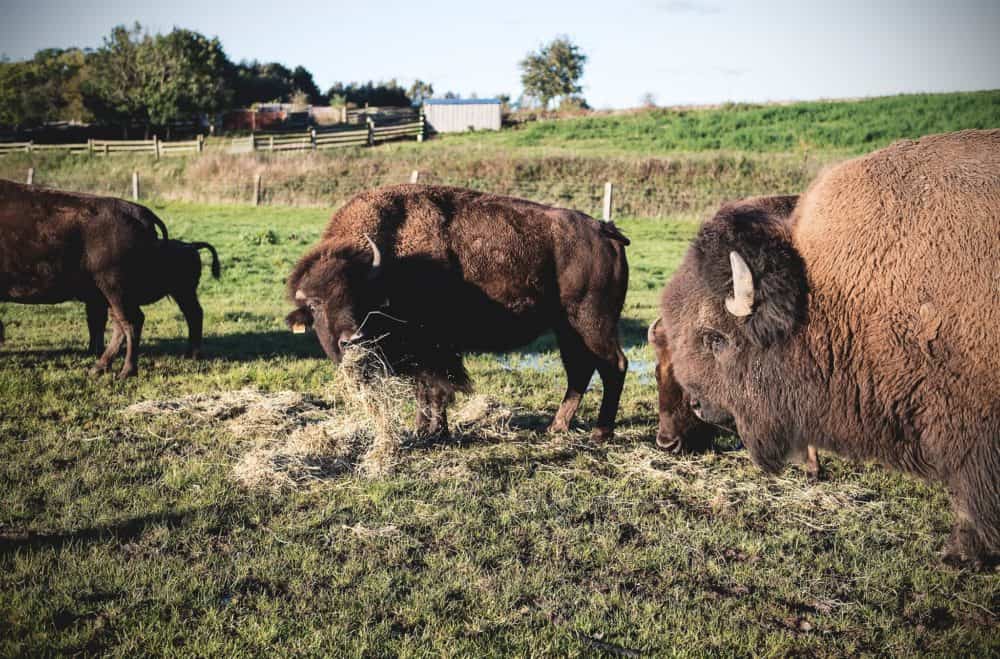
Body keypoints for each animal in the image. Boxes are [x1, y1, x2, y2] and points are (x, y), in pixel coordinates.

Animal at [1, 180, 168, 377]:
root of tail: (139, 212)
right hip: (109, 292)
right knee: (120, 324)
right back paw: (99, 368)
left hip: (114, 288)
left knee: (131, 322)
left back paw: (126, 371)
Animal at [287, 184, 630, 440]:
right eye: (314, 305)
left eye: (361, 297)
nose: (353, 340)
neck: (390, 261)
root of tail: (604, 230)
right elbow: (425, 390)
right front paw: (424, 431)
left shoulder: (434, 348)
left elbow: (436, 388)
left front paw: (433, 433)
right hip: (567, 328)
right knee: (580, 370)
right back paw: (556, 427)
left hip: (592, 322)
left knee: (613, 365)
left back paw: (600, 433)